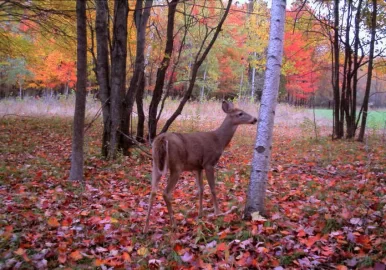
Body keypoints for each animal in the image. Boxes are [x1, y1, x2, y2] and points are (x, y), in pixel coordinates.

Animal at [143, 101, 258, 232]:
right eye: (240, 113)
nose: (255, 119)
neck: (219, 140)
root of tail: (162, 139)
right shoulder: (209, 163)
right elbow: (212, 188)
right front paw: (217, 212)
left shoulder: (197, 167)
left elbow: (201, 189)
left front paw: (200, 213)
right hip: (176, 166)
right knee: (166, 193)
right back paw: (174, 225)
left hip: (156, 163)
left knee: (152, 192)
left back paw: (145, 228)